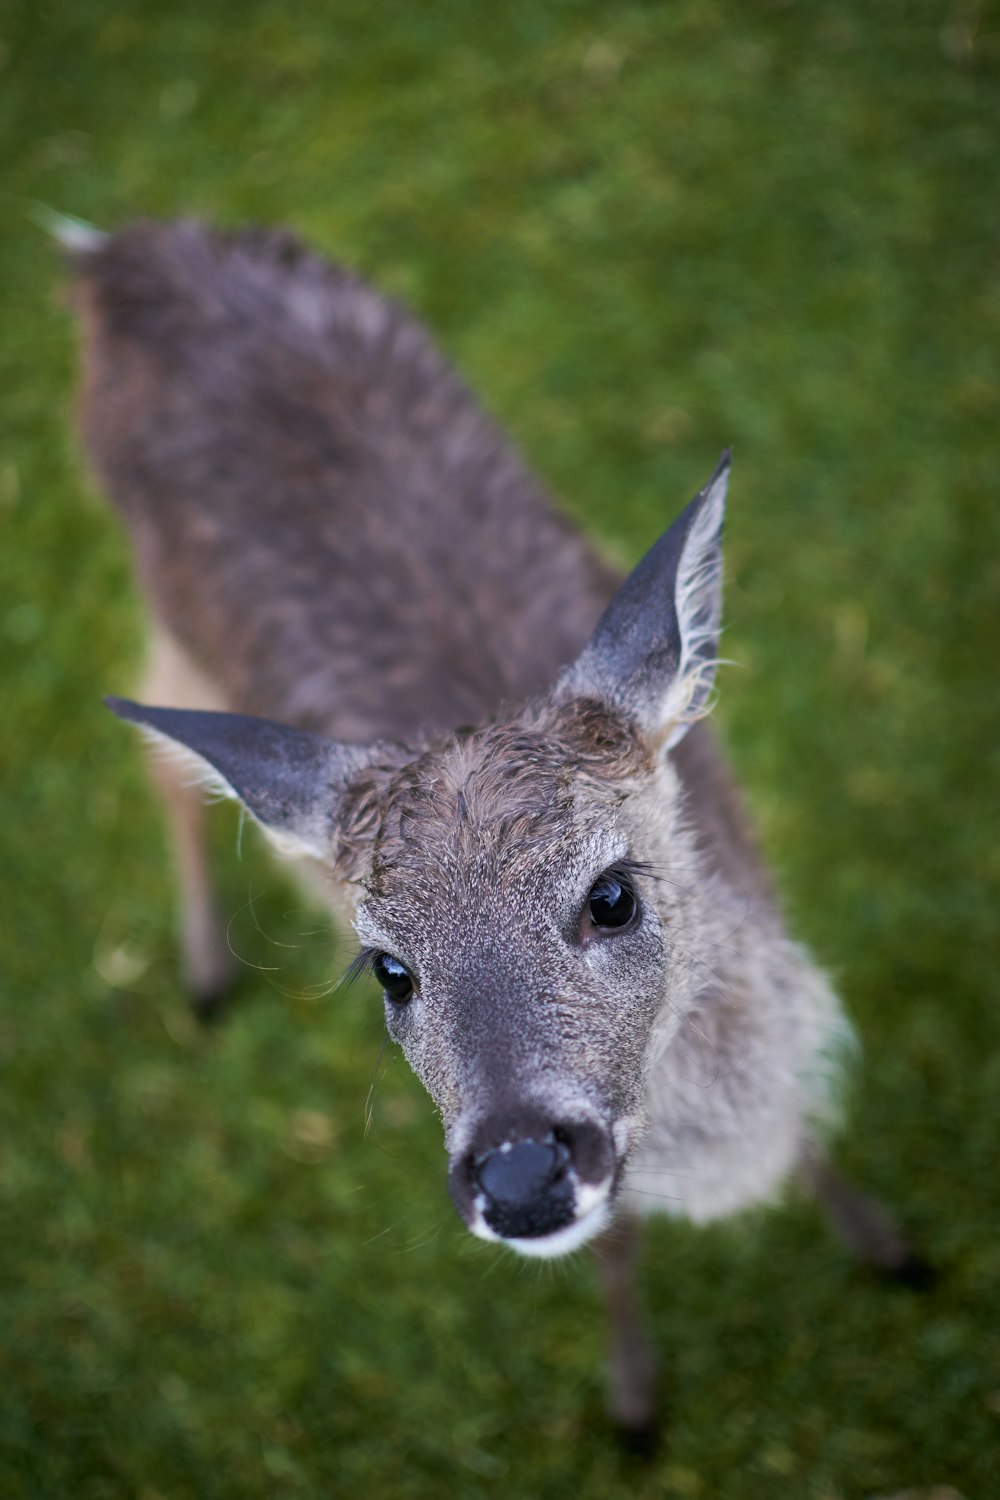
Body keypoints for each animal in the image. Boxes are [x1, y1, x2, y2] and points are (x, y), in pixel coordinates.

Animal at [66, 219, 917, 1440]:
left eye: (612, 893)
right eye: (387, 967)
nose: (520, 1178)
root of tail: (112, 254)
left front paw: (890, 1248)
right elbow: (618, 1247)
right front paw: (634, 1404)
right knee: (160, 753)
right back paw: (205, 977)